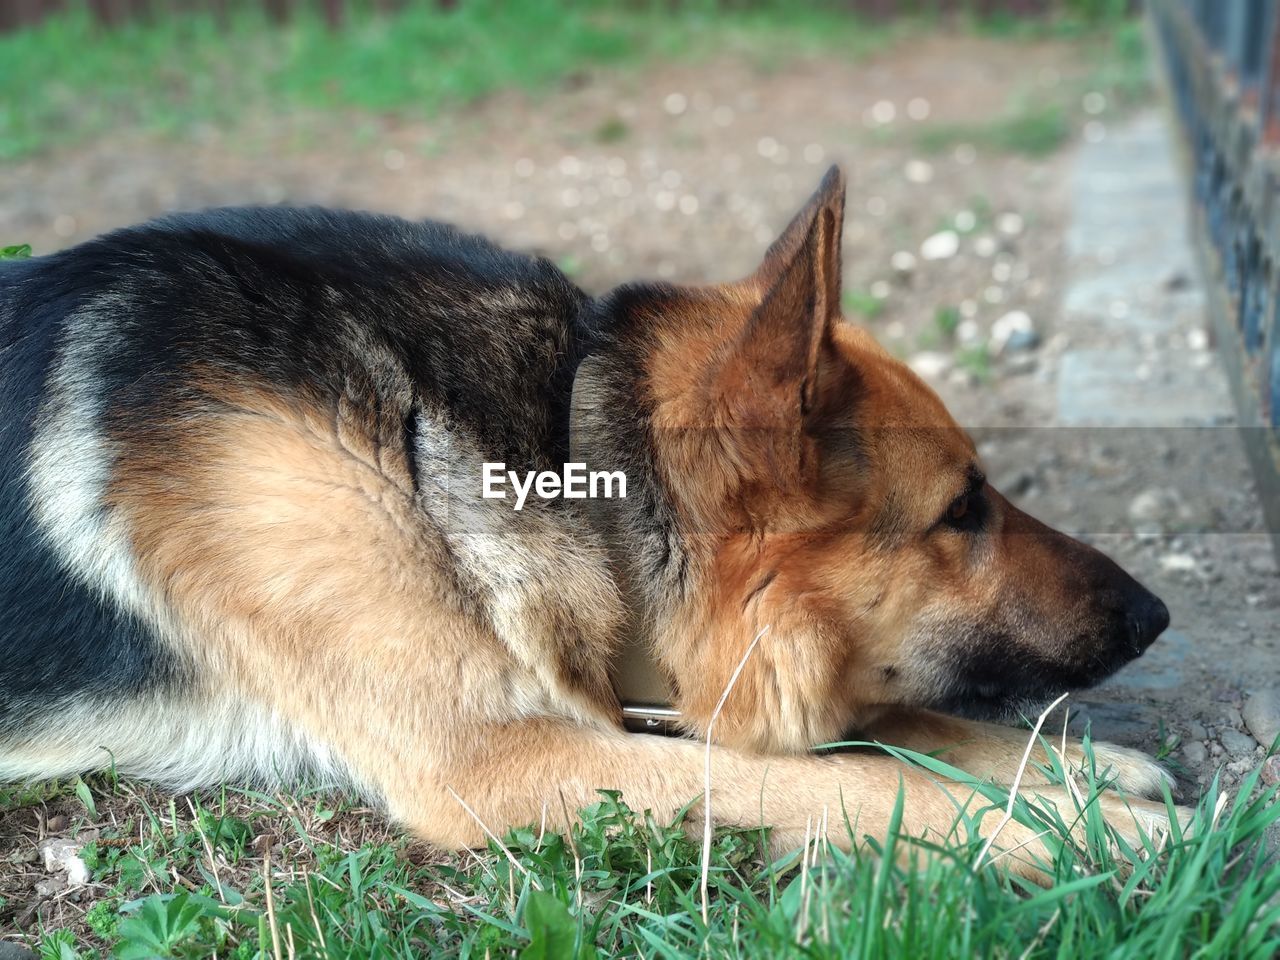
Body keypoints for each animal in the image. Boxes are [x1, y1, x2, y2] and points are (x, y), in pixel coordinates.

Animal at [0, 167, 1177, 880]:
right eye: (960, 510)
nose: (1157, 616)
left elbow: (892, 725)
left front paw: (1073, 769)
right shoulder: (493, 760)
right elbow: (844, 777)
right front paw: (1091, 829)